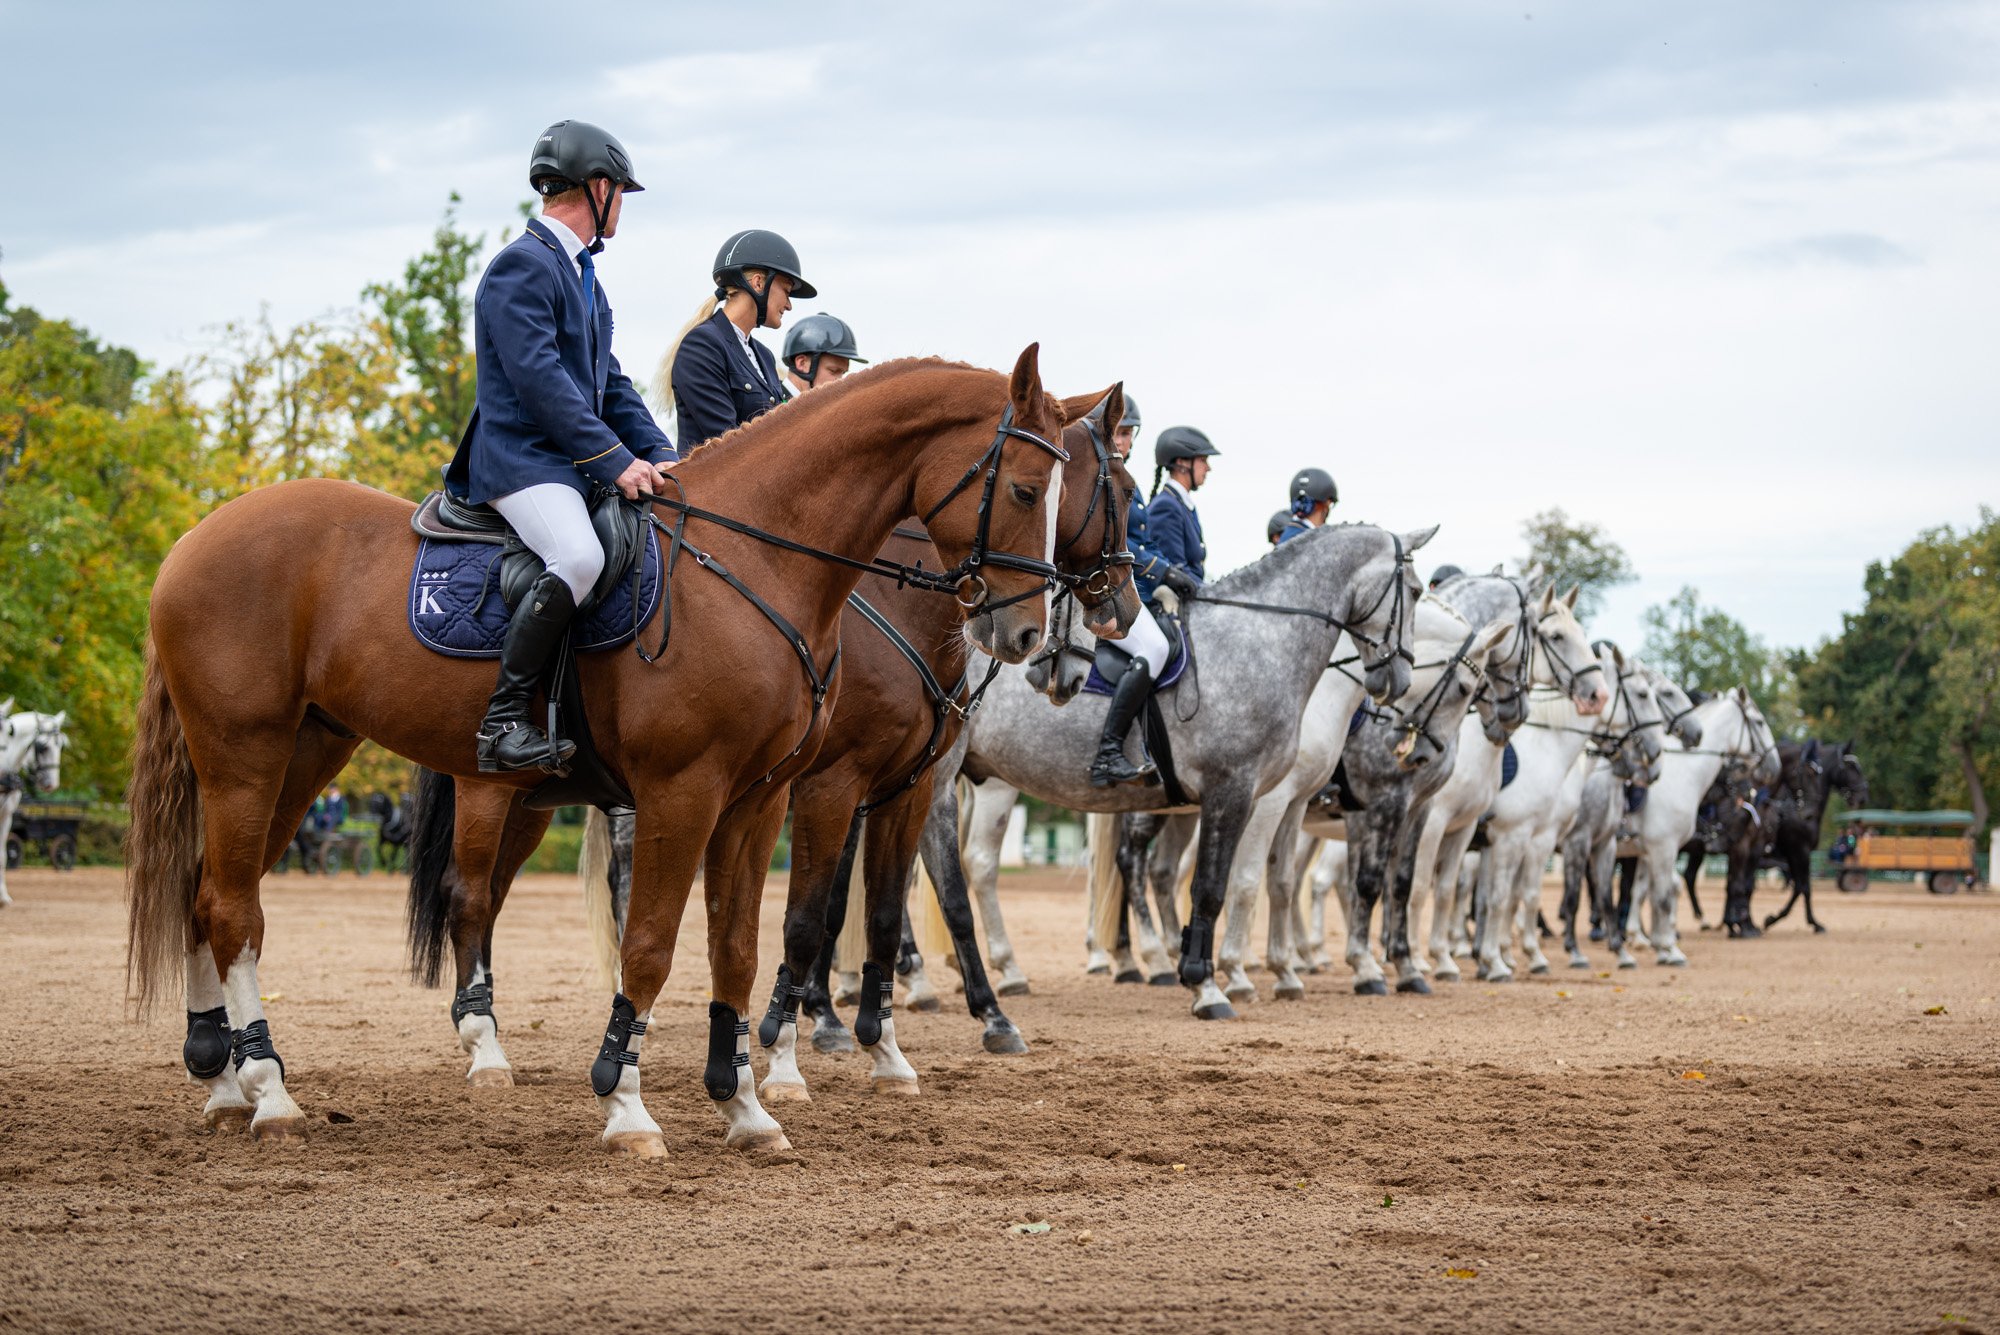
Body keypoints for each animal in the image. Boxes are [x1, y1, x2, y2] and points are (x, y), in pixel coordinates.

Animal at [0, 707, 72, 907]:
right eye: (43, 747)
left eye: (61, 745)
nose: (51, 784)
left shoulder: (6, 814)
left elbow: (2, 855)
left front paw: (3, 897)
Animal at [125, 349, 1096, 1151]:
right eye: (1023, 490)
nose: (1022, 632)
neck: (756, 557)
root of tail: (194, 536)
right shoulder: (692, 791)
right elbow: (655, 944)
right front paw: (628, 1104)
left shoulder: (760, 800)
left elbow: (739, 949)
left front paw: (745, 1103)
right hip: (251, 757)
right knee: (245, 909)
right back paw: (272, 1087)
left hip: (305, 756)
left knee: (213, 895)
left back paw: (224, 1080)